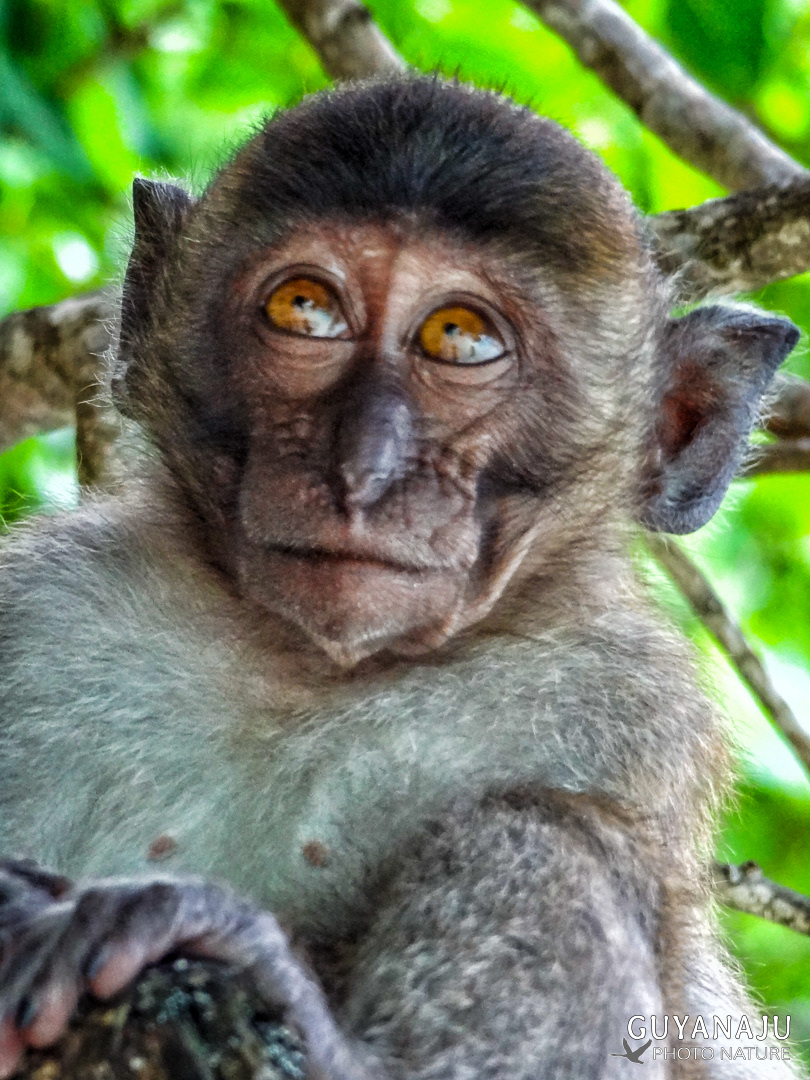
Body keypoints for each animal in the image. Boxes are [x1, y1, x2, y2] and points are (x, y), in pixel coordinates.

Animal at [0, 74, 802, 1079]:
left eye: (461, 339)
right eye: (305, 310)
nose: (362, 469)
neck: (306, 670)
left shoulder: (621, 705)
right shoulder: (44, 616)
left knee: (555, 829)